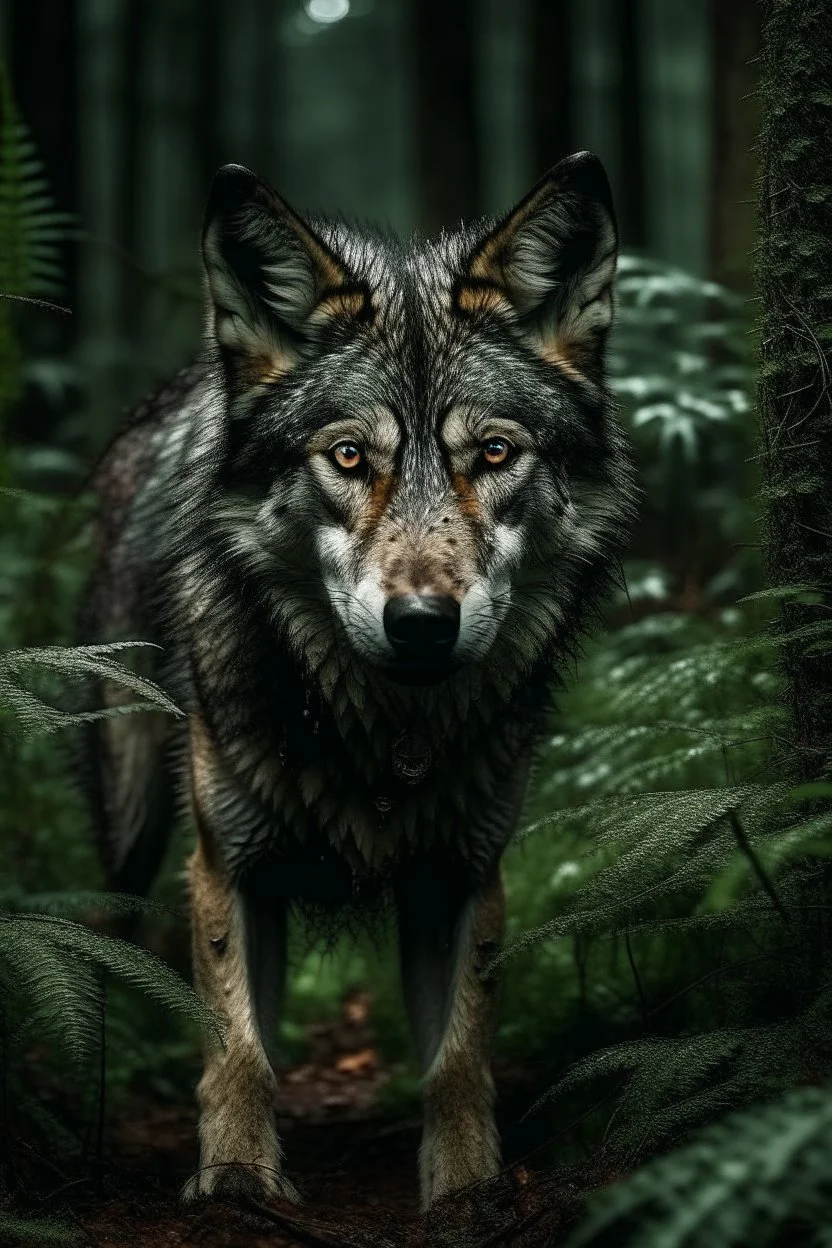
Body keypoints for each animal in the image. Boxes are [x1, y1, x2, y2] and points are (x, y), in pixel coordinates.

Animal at [79, 151, 635, 1210]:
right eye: (348, 456)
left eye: (493, 453)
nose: (420, 625)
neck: (386, 736)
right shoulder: (230, 869)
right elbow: (239, 1048)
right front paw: (238, 1184)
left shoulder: (463, 876)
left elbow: (458, 1057)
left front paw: (467, 1192)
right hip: (130, 826)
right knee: (96, 942)